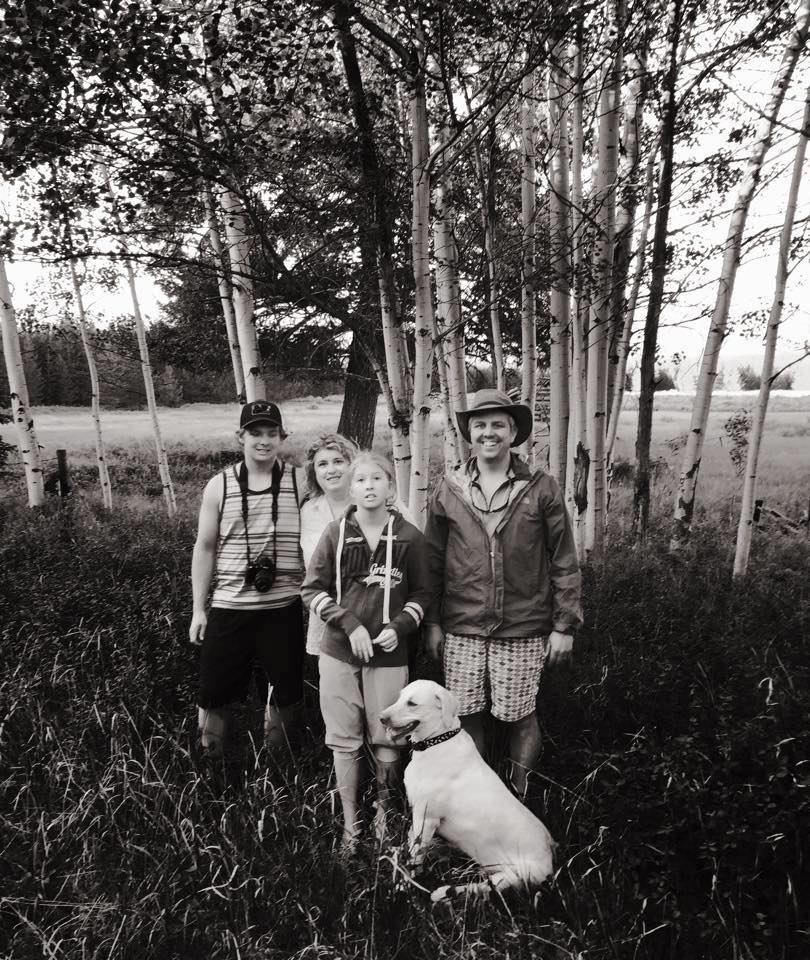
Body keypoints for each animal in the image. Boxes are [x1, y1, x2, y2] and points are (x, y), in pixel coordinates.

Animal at [380, 679, 555, 901]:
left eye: (412, 703)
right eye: (400, 697)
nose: (381, 718)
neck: (436, 741)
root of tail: (551, 858)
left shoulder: (426, 818)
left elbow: (414, 857)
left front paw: (404, 885)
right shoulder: (417, 815)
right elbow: (411, 843)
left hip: (516, 875)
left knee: (485, 888)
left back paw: (444, 892)